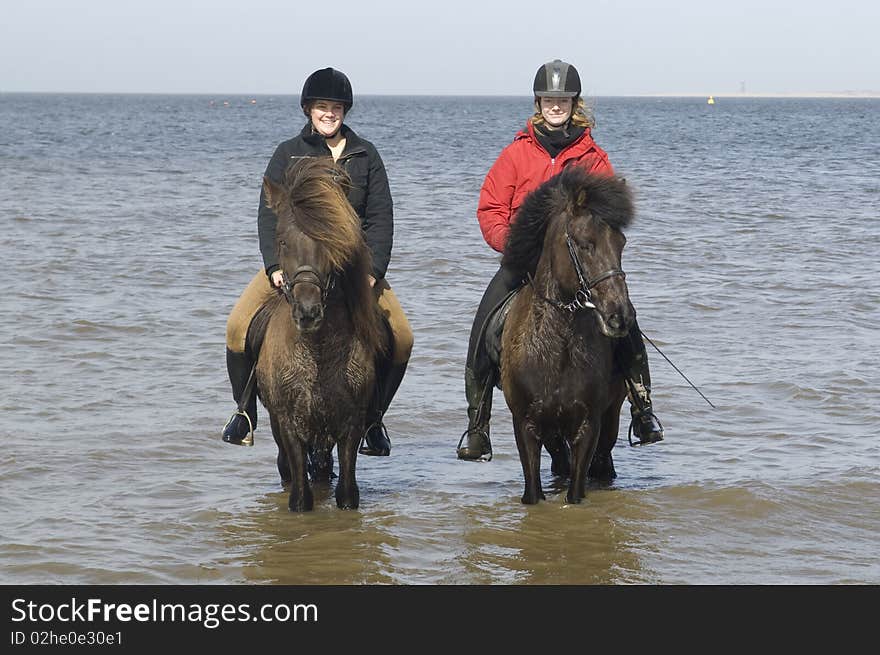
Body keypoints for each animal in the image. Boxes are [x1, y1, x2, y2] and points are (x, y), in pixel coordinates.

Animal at [248, 159, 384, 512]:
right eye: (282, 240)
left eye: (331, 240)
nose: (308, 312)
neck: (317, 352)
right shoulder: (288, 424)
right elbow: (300, 497)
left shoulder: (351, 424)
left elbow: (347, 493)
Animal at [498, 167, 636, 504]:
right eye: (585, 244)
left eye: (621, 243)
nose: (620, 316)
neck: (556, 348)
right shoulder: (526, 425)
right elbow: (532, 492)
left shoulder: (588, 426)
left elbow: (576, 490)